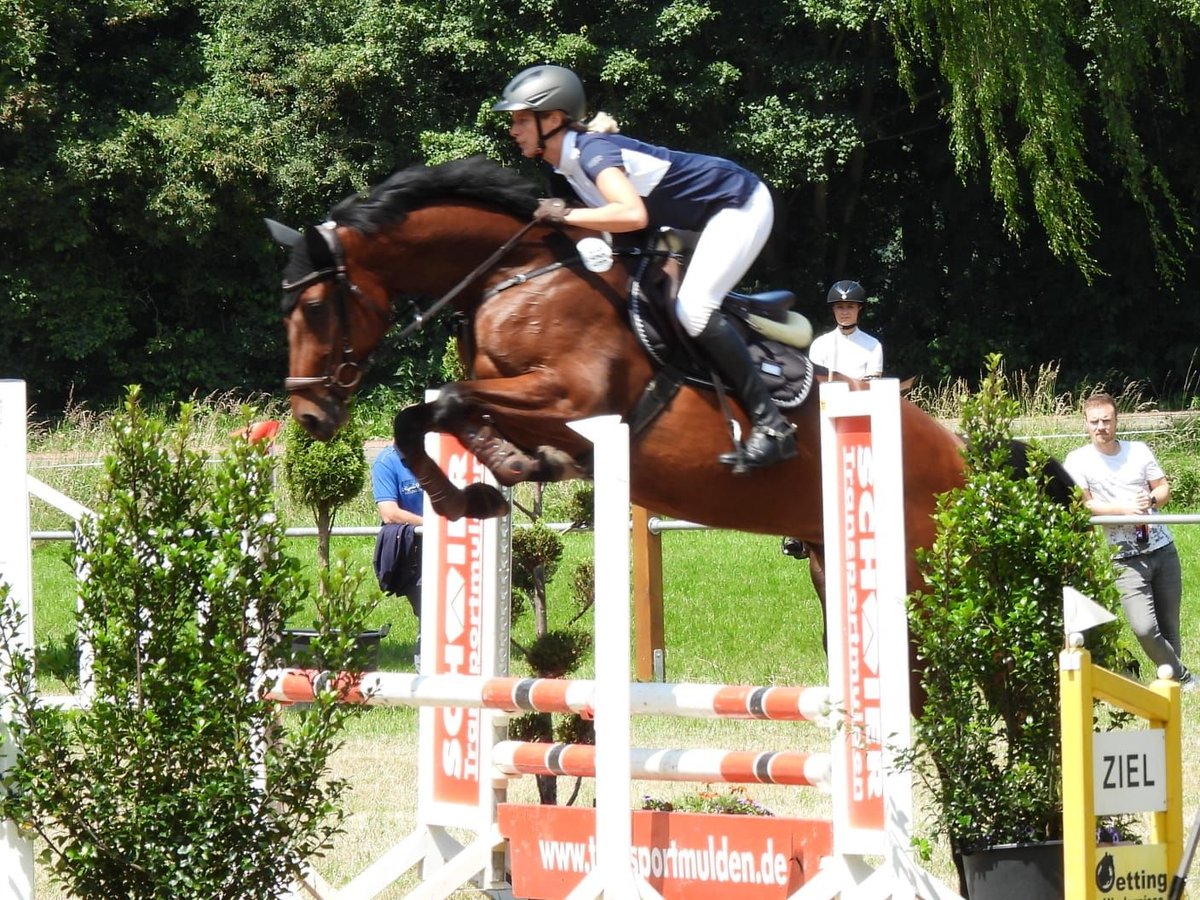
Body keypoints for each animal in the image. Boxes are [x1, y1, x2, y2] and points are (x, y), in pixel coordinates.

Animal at [270, 157, 964, 643]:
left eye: (314, 308)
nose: (309, 415)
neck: (515, 275)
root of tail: (960, 455)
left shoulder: (572, 402)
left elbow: (439, 407)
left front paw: (479, 483)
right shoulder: (515, 397)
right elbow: (437, 413)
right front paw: (493, 480)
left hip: (922, 574)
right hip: (826, 560)